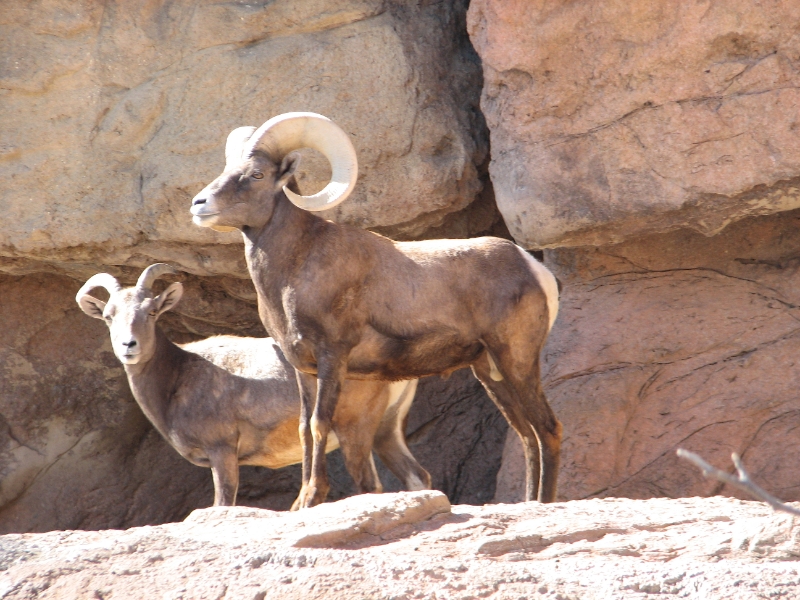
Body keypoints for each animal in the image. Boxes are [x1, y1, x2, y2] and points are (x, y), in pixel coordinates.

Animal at [76, 263, 430, 507]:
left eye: (151, 312)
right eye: (108, 316)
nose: (129, 346)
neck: (177, 378)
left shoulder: (222, 452)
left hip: (354, 429)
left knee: (370, 485)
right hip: (386, 431)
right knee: (418, 478)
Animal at [190, 112, 561, 509]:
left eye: (256, 174)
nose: (199, 204)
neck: (297, 263)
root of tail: (534, 270)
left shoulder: (333, 356)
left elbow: (321, 423)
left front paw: (312, 498)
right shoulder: (303, 369)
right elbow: (305, 429)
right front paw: (303, 501)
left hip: (516, 360)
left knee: (548, 430)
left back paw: (546, 502)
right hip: (490, 372)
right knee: (527, 436)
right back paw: (531, 502)